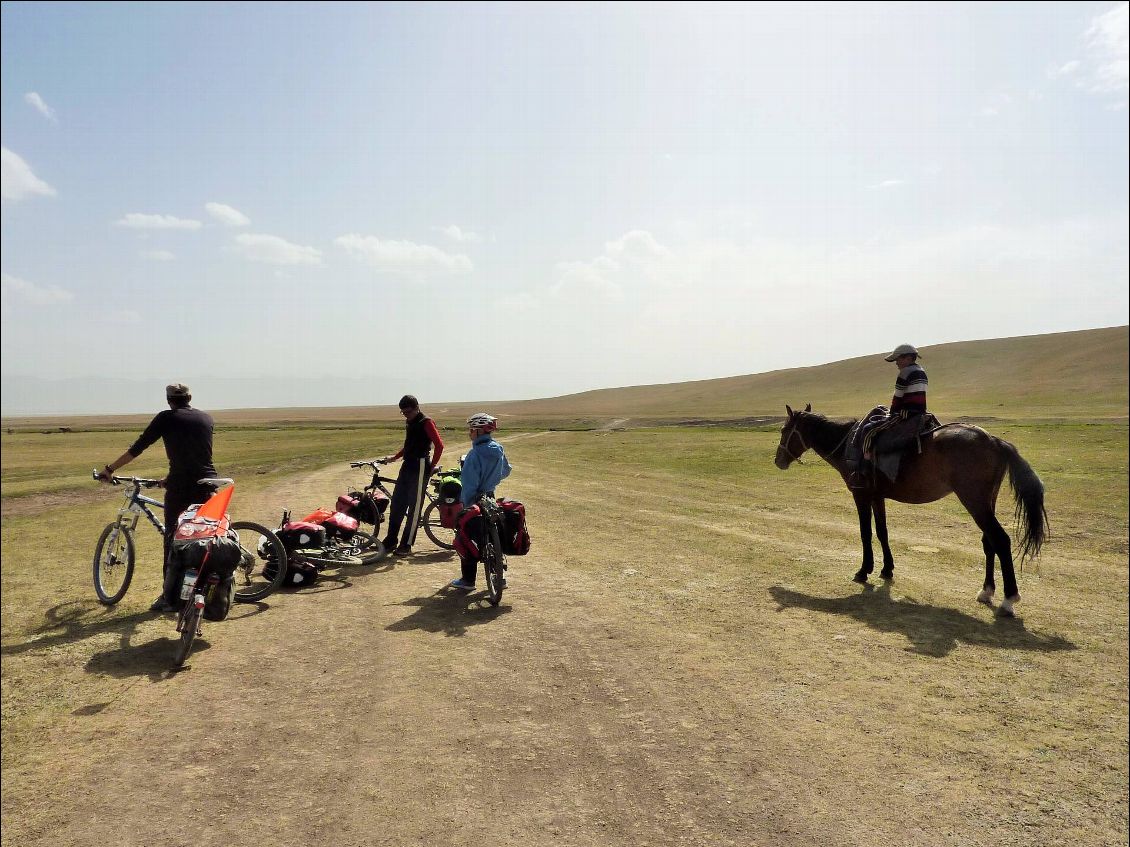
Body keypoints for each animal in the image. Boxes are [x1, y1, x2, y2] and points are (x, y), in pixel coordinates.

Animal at [772, 404, 1044, 618]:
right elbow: (882, 531)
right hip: (987, 502)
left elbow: (865, 533)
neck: (847, 444)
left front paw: (863, 571)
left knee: (1001, 540)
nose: (778, 461)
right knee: (989, 542)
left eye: (784, 431)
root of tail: (995, 441)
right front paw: (886, 569)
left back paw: (1009, 600)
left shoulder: (861, 495)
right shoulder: (877, 497)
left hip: (974, 501)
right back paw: (986, 592)